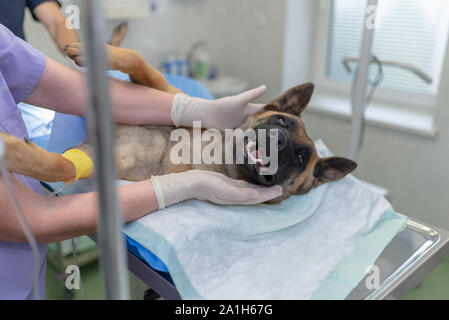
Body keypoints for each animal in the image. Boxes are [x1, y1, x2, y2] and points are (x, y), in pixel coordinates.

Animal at [0, 43, 356, 202]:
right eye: (281, 120)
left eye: (301, 157)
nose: (279, 142)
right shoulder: (163, 91)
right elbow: (138, 60)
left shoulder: (99, 161)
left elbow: (61, 165)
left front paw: (16, 153)